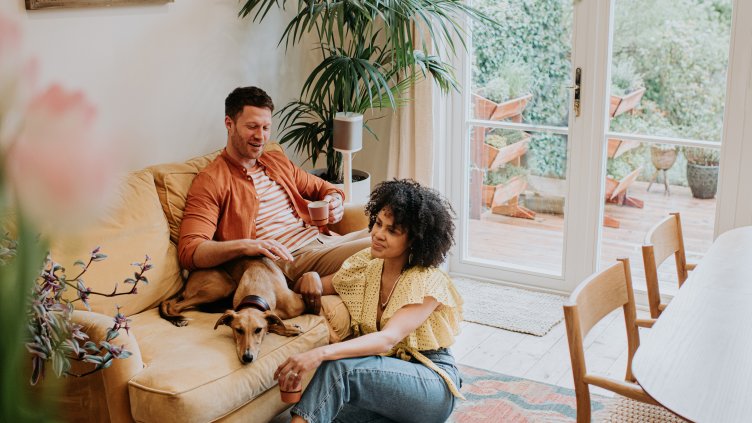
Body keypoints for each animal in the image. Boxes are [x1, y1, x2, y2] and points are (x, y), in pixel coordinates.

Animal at [159, 258, 308, 364]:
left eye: (258, 330)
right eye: (238, 330)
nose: (247, 357)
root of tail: (187, 282)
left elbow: (271, 322)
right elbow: (273, 322)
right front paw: (289, 328)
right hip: (223, 286)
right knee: (175, 306)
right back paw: (178, 319)